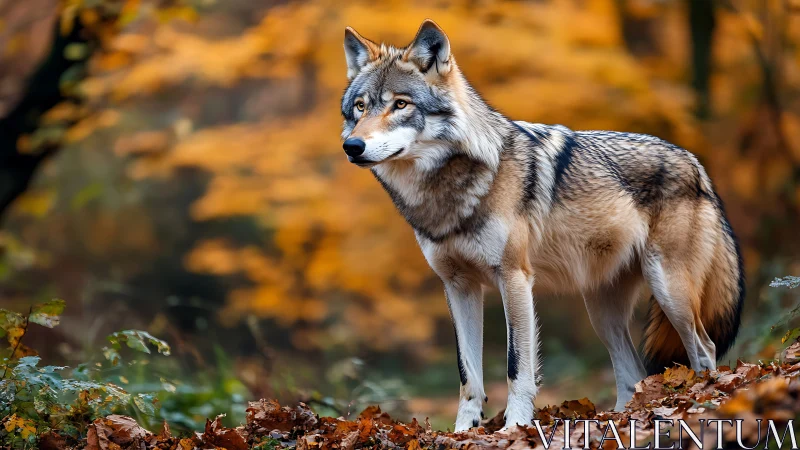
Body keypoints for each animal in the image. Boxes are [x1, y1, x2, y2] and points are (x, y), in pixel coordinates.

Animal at [340, 19, 744, 431]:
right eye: (360, 107)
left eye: (400, 104)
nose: (352, 146)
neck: (451, 189)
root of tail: (695, 162)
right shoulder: (458, 286)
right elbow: (468, 375)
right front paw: (463, 432)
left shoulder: (514, 277)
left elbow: (516, 366)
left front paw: (513, 427)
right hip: (602, 313)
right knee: (632, 375)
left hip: (669, 291)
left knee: (704, 349)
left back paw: (700, 402)